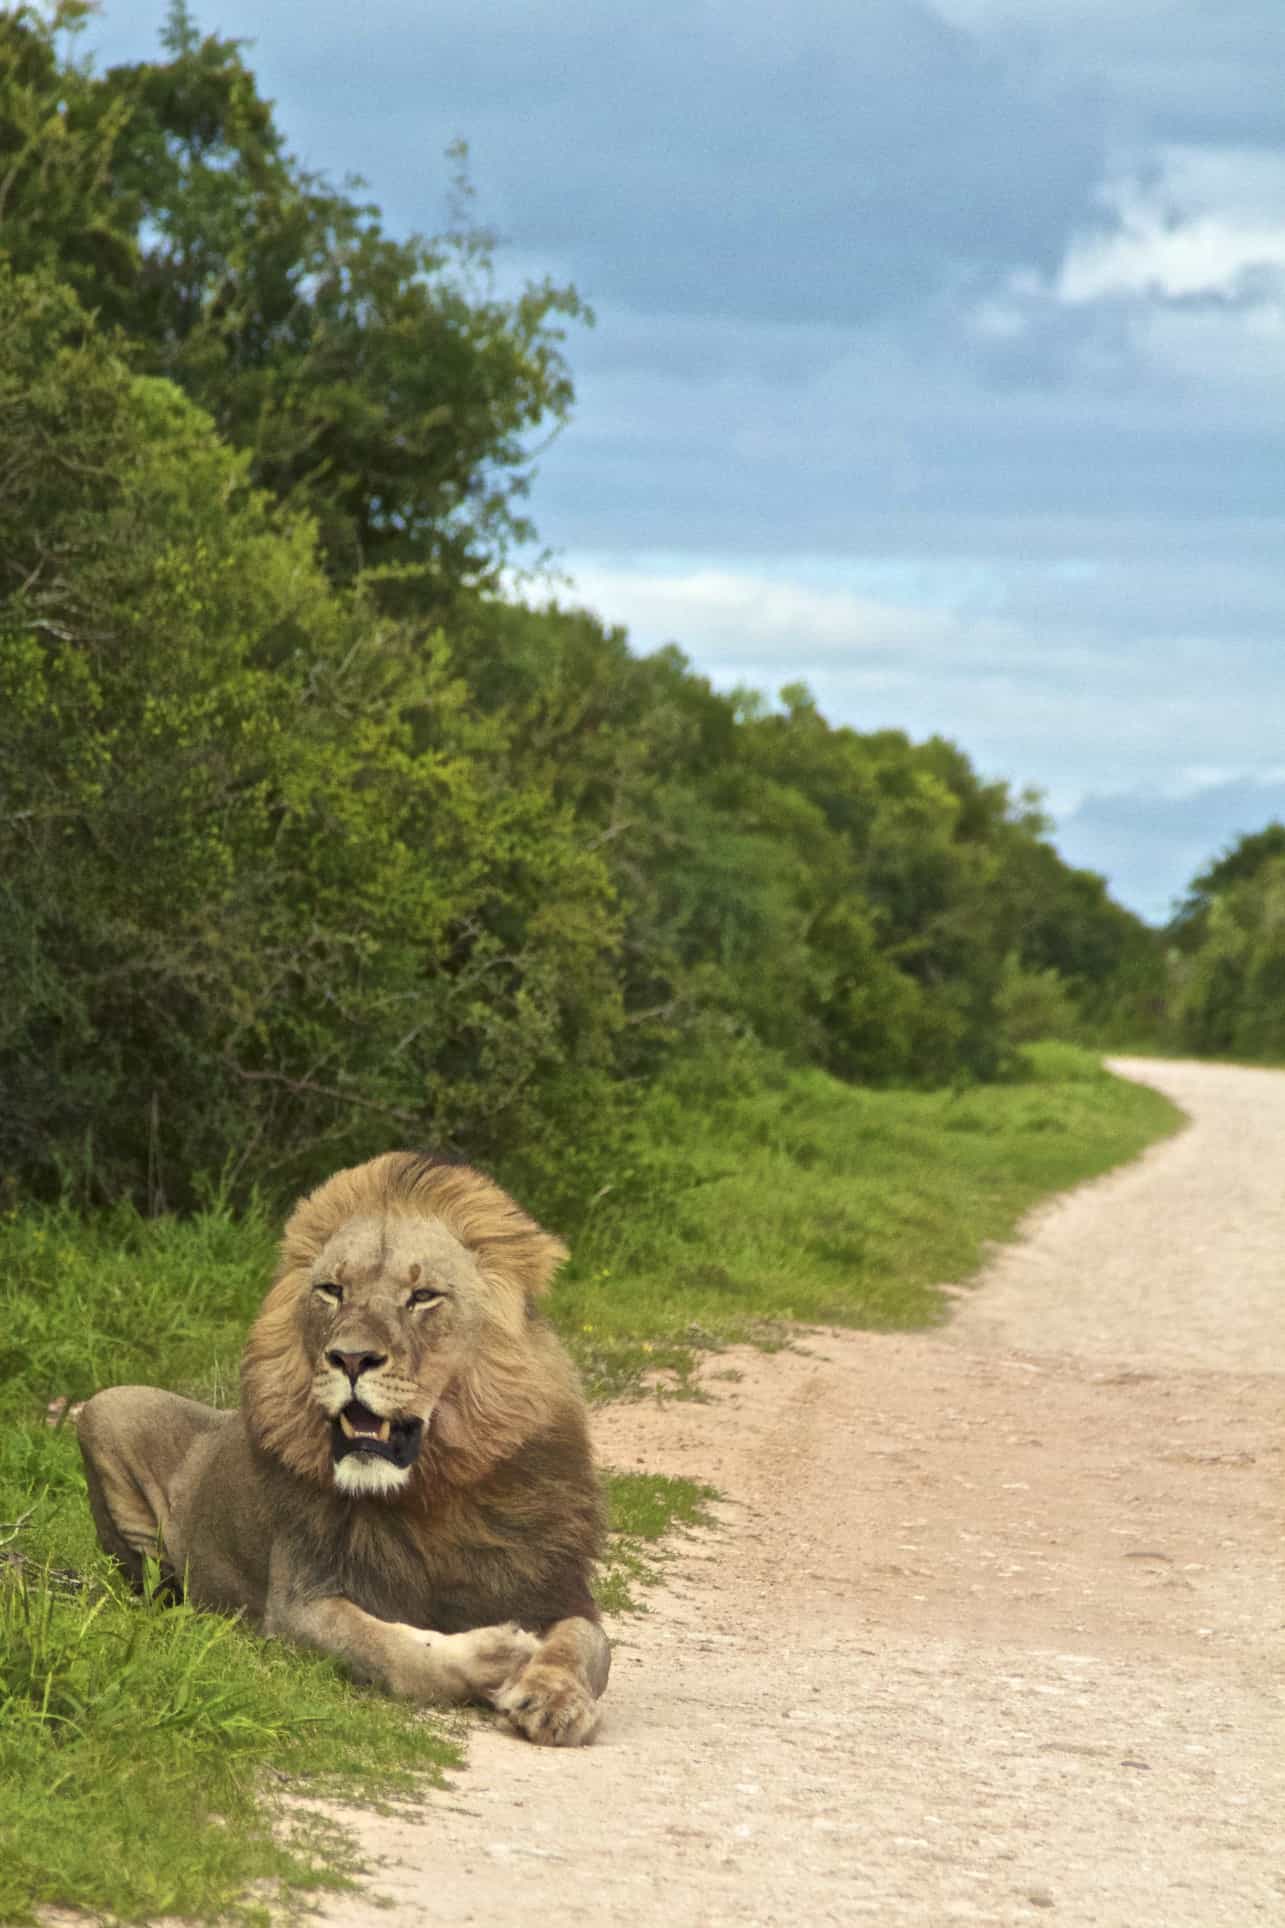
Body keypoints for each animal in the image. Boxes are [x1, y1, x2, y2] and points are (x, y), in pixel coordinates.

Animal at [80, 1149, 609, 1758]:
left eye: (422, 1297)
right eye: (332, 1290)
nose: (351, 1358)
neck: (431, 1492)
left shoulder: (555, 1590)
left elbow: (582, 1645)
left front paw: (554, 1697)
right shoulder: (299, 1603)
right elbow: (389, 1649)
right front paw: (499, 1655)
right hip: (104, 1409)